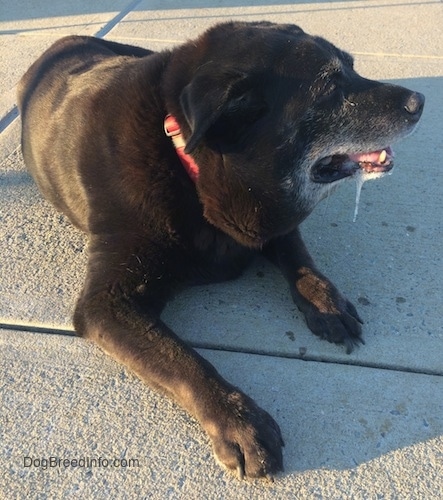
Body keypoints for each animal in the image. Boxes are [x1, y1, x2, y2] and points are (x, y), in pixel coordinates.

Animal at [17, 21, 424, 478]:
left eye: (352, 69)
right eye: (330, 87)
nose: (420, 101)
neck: (188, 164)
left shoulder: (268, 221)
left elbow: (298, 256)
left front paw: (325, 300)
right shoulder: (107, 302)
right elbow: (182, 359)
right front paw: (239, 422)